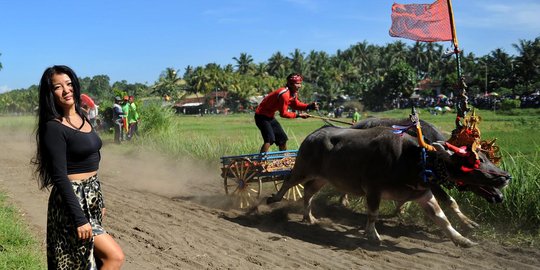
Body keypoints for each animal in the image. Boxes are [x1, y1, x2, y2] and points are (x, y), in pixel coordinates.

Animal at [268, 125, 512, 248]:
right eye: (473, 161)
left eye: (485, 156)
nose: (506, 177)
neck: (417, 160)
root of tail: (313, 134)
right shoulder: (372, 189)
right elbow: (373, 214)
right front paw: (373, 235)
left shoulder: (424, 194)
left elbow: (442, 219)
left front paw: (462, 239)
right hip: (303, 168)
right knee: (289, 181)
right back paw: (273, 199)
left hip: (323, 178)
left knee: (308, 192)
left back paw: (309, 217)